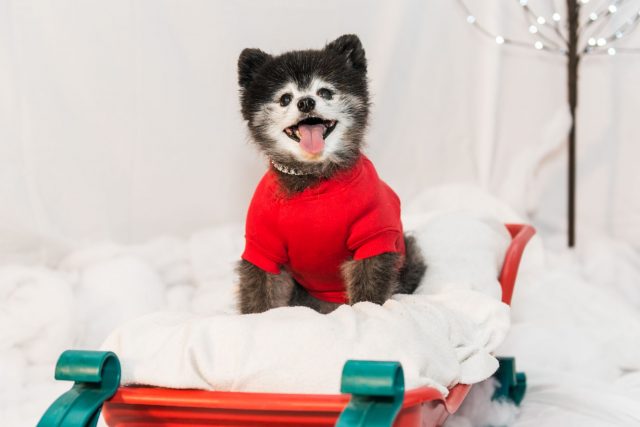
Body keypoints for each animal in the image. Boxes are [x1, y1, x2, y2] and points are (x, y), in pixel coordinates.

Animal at [235, 34, 424, 314]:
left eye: (324, 92)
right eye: (285, 98)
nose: (306, 102)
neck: (313, 178)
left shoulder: (373, 236)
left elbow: (368, 288)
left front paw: (366, 314)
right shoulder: (263, 246)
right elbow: (259, 291)